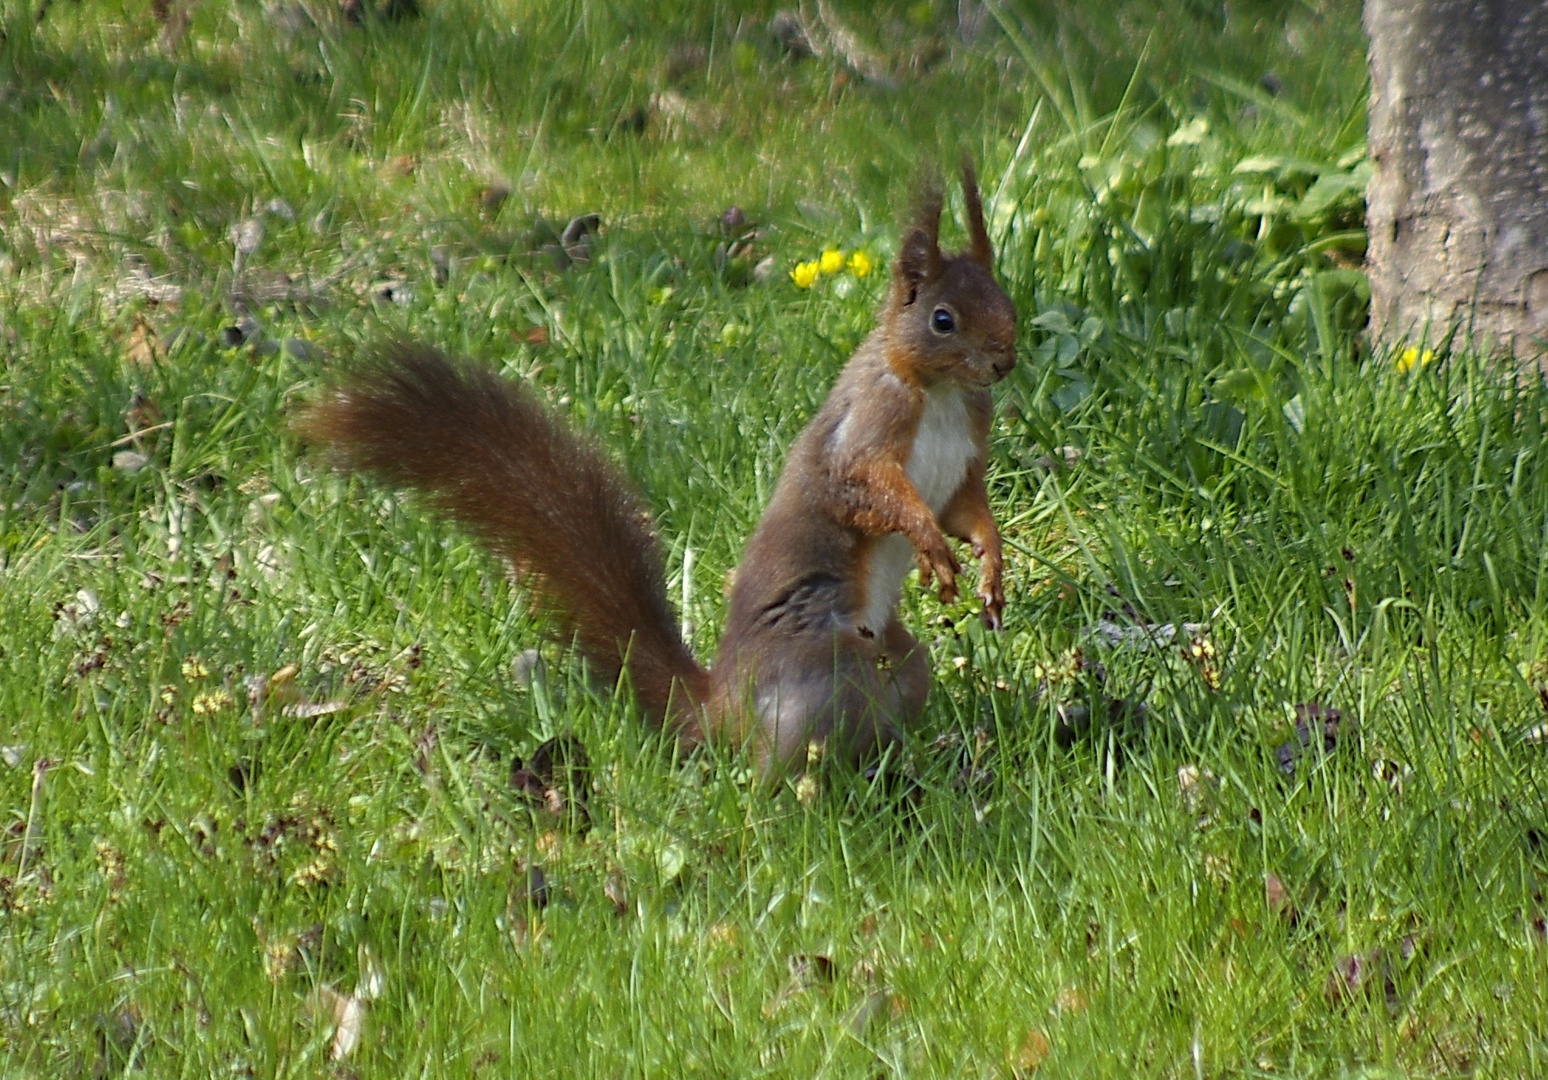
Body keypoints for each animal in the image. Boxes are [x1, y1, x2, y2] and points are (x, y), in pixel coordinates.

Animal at [308, 161, 1021, 764]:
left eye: (1005, 298)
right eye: (943, 319)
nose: (1005, 361)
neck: (940, 392)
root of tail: (721, 709)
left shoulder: (963, 459)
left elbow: (966, 511)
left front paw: (990, 566)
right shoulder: (868, 429)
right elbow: (868, 492)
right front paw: (929, 545)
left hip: (897, 665)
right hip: (826, 670)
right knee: (781, 762)